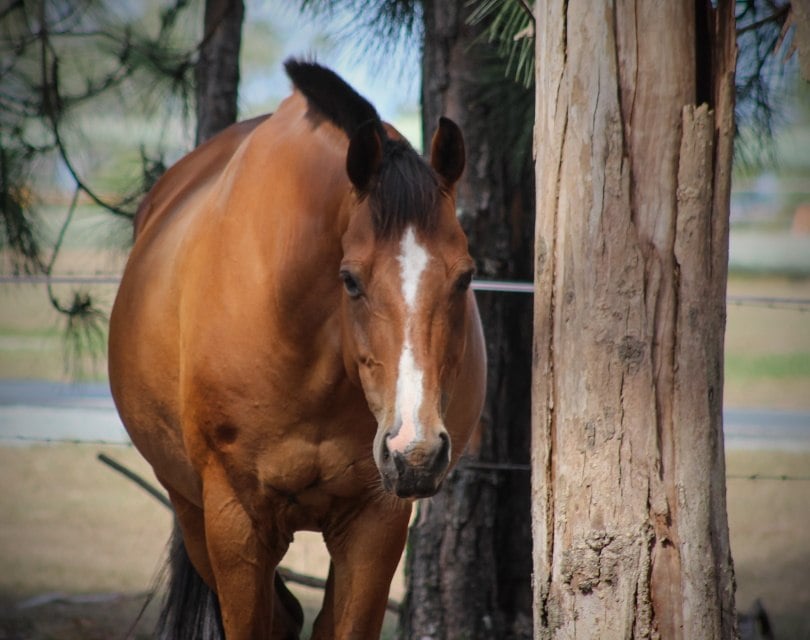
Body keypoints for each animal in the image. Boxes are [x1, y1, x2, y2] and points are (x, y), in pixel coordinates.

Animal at [109, 57, 482, 636]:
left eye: (464, 277)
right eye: (350, 280)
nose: (415, 452)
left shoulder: (375, 522)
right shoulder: (234, 521)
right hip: (190, 511)